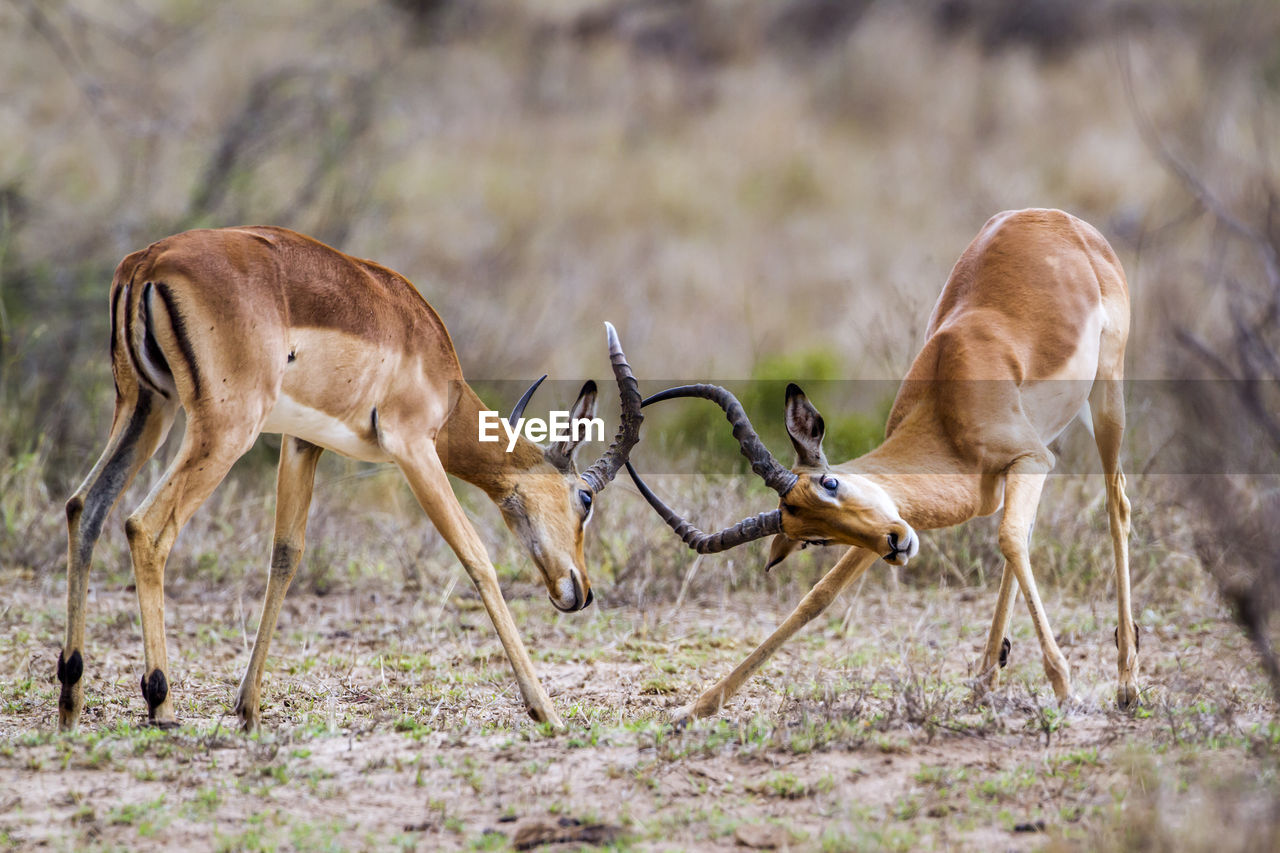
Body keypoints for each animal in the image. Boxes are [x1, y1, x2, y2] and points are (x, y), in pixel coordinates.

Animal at [57, 225, 640, 732]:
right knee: (145, 527)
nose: (581, 591)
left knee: (86, 506)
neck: (428, 356)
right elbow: (476, 558)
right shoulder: (413, 447)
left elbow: (286, 555)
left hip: (145, 408)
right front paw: (547, 711)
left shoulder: (302, 442)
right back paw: (161, 705)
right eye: (585, 499)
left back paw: (69, 698)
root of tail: (148, 261)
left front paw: (249, 710)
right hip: (223, 429)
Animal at [624, 206, 1136, 717]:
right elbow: (818, 597)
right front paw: (697, 707)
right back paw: (985, 677)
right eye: (813, 539)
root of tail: (1051, 216)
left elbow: (1008, 537)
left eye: (830, 483)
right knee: (1031, 532)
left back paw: (1127, 684)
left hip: (1107, 395)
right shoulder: (905, 512)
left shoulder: (1029, 457)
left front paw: (1065, 688)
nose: (894, 546)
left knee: (1115, 507)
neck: (948, 422)